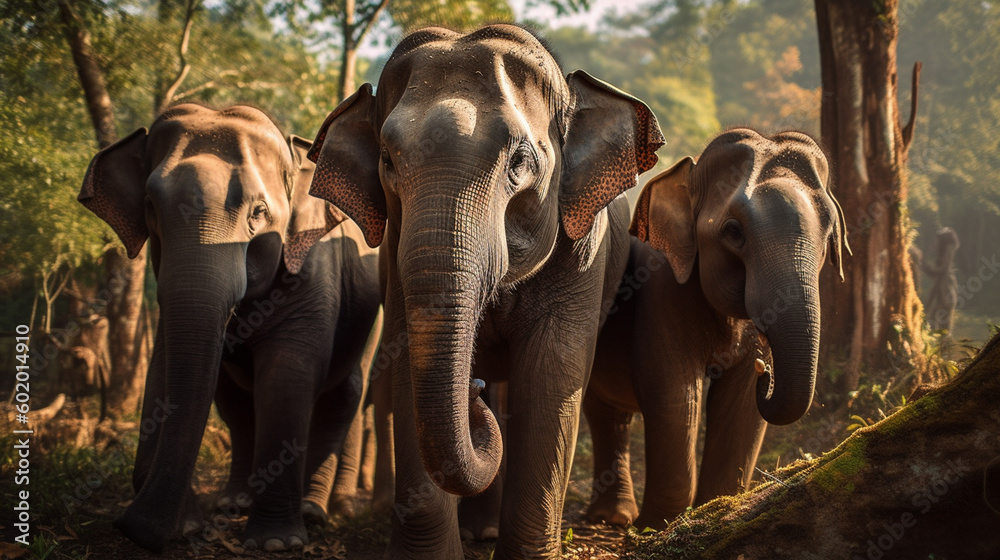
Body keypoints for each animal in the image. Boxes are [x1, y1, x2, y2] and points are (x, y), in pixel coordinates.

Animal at [78, 104, 381, 552]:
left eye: (259, 212)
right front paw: (189, 523)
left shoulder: (311, 275)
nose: (131, 528)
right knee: (237, 402)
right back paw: (234, 503)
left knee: (345, 395)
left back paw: (319, 510)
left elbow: (286, 377)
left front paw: (275, 544)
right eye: (150, 206)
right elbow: (172, 366)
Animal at [306, 24, 664, 559]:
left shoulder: (584, 248)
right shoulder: (395, 252)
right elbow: (408, 358)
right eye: (387, 159)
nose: (472, 394)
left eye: (520, 161)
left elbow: (553, 370)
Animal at [585, 128, 848, 530]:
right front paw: (657, 527)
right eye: (734, 231)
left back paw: (614, 518)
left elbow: (741, 402)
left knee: (609, 412)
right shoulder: (662, 289)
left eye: (830, 232)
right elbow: (674, 391)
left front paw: (716, 509)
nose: (767, 371)